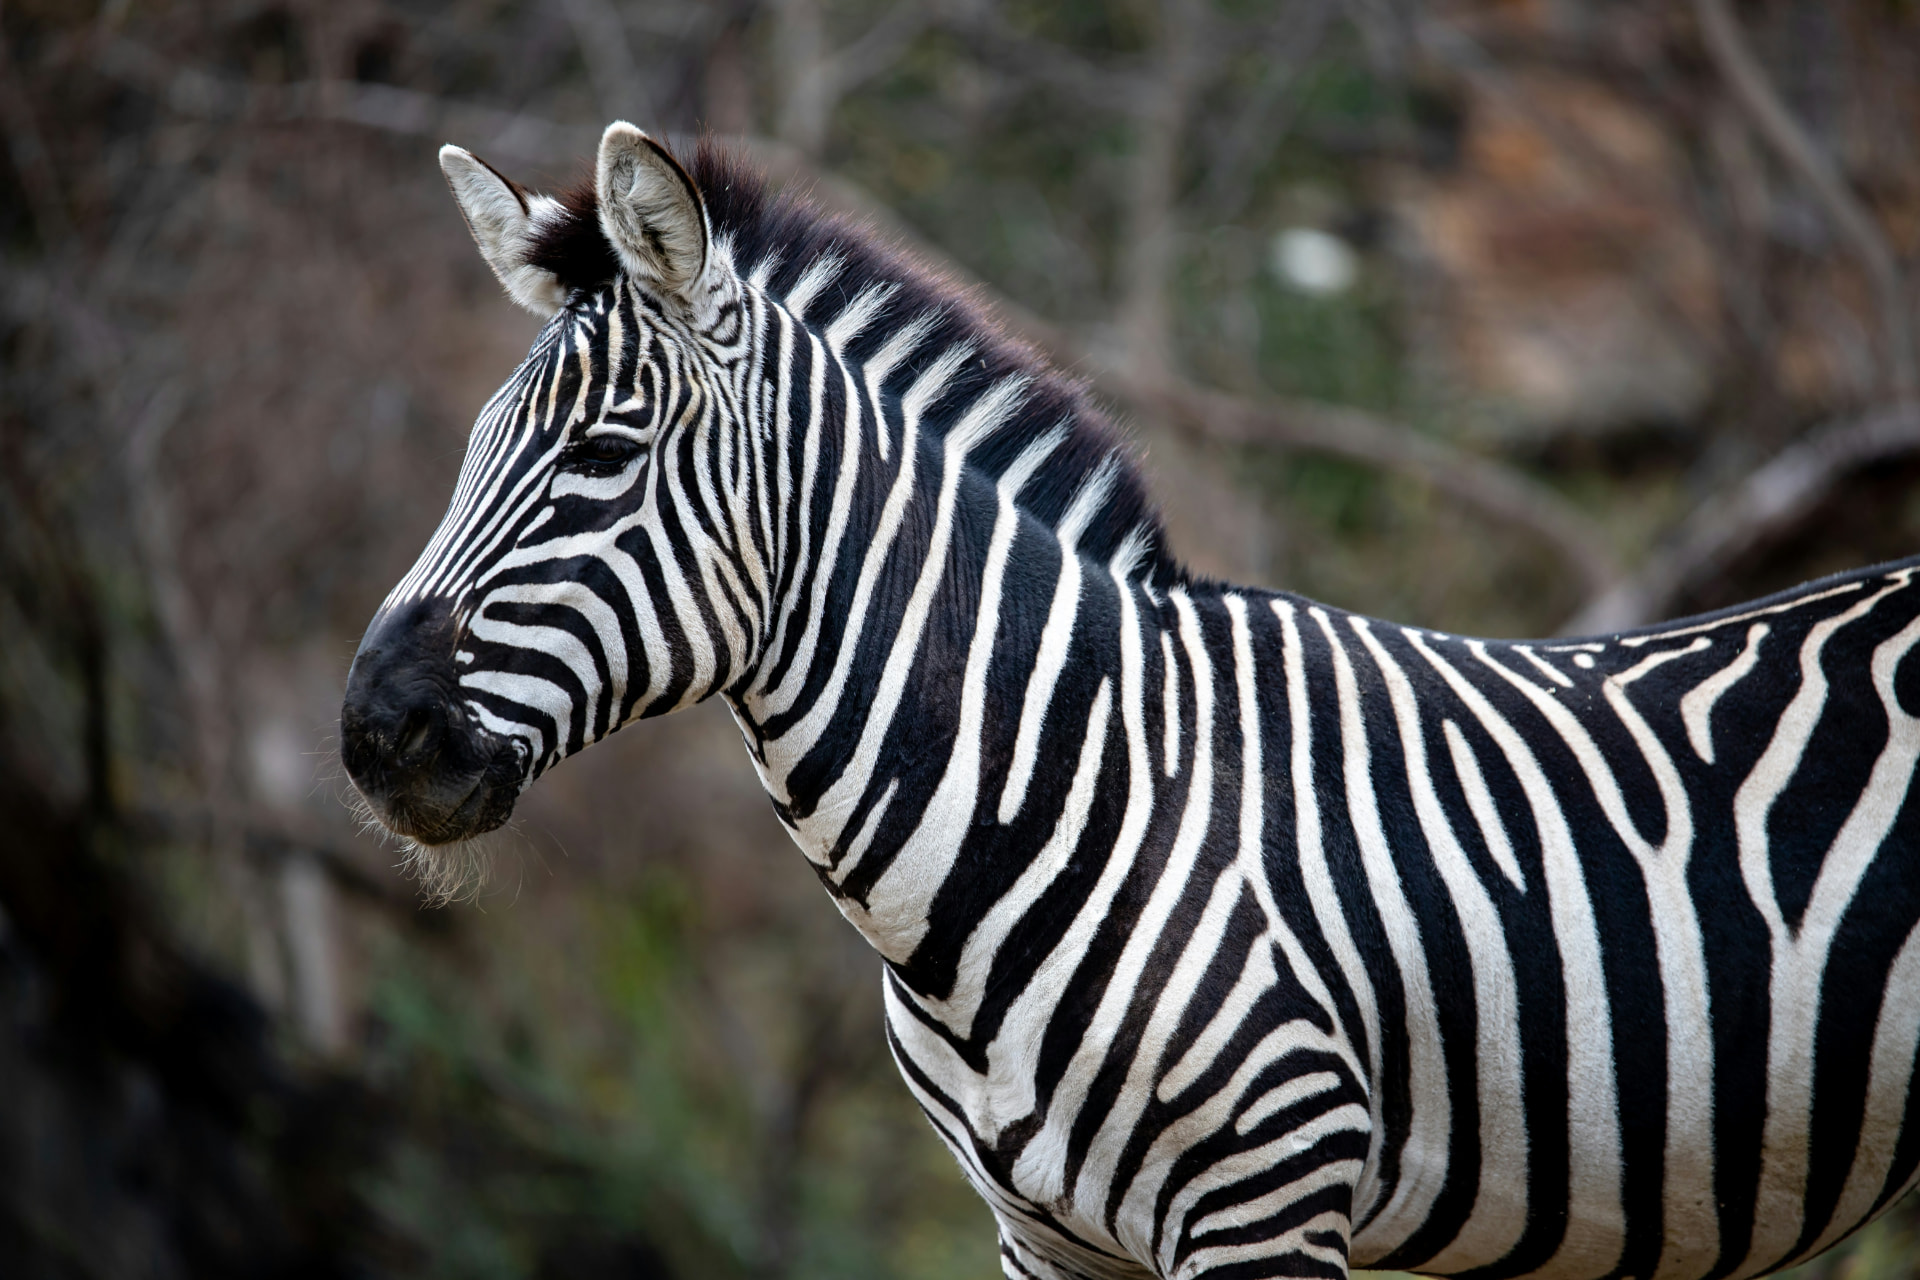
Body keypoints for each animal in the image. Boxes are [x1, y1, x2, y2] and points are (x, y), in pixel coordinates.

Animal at [340, 122, 1920, 1280]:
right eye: (471, 447)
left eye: (602, 456)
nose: (372, 737)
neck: (1065, 794)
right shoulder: (1046, 1242)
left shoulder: (1270, 1207)